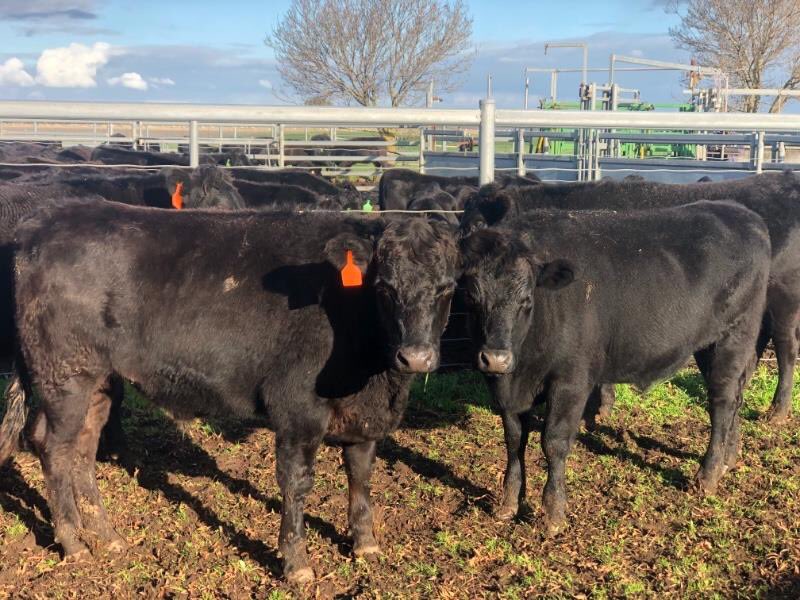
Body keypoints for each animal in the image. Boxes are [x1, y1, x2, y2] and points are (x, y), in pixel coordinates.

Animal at [0, 203, 460, 583]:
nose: (416, 357)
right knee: (53, 446)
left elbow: (361, 475)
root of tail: (43, 222)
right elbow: (297, 483)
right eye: (384, 287)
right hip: (65, 376)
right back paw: (73, 543)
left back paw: (107, 535)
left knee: (83, 447)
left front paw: (365, 543)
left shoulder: (364, 417)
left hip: (98, 380)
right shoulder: (297, 409)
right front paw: (297, 563)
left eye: (447, 288)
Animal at [459, 199, 771, 533]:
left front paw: (553, 512)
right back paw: (728, 458)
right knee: (736, 397)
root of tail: (739, 211)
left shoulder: (571, 381)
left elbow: (554, 442)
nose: (496, 358)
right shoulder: (508, 392)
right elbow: (514, 440)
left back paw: (708, 475)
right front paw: (509, 503)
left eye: (527, 300)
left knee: (722, 402)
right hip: (709, 347)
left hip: (735, 335)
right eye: (471, 297)